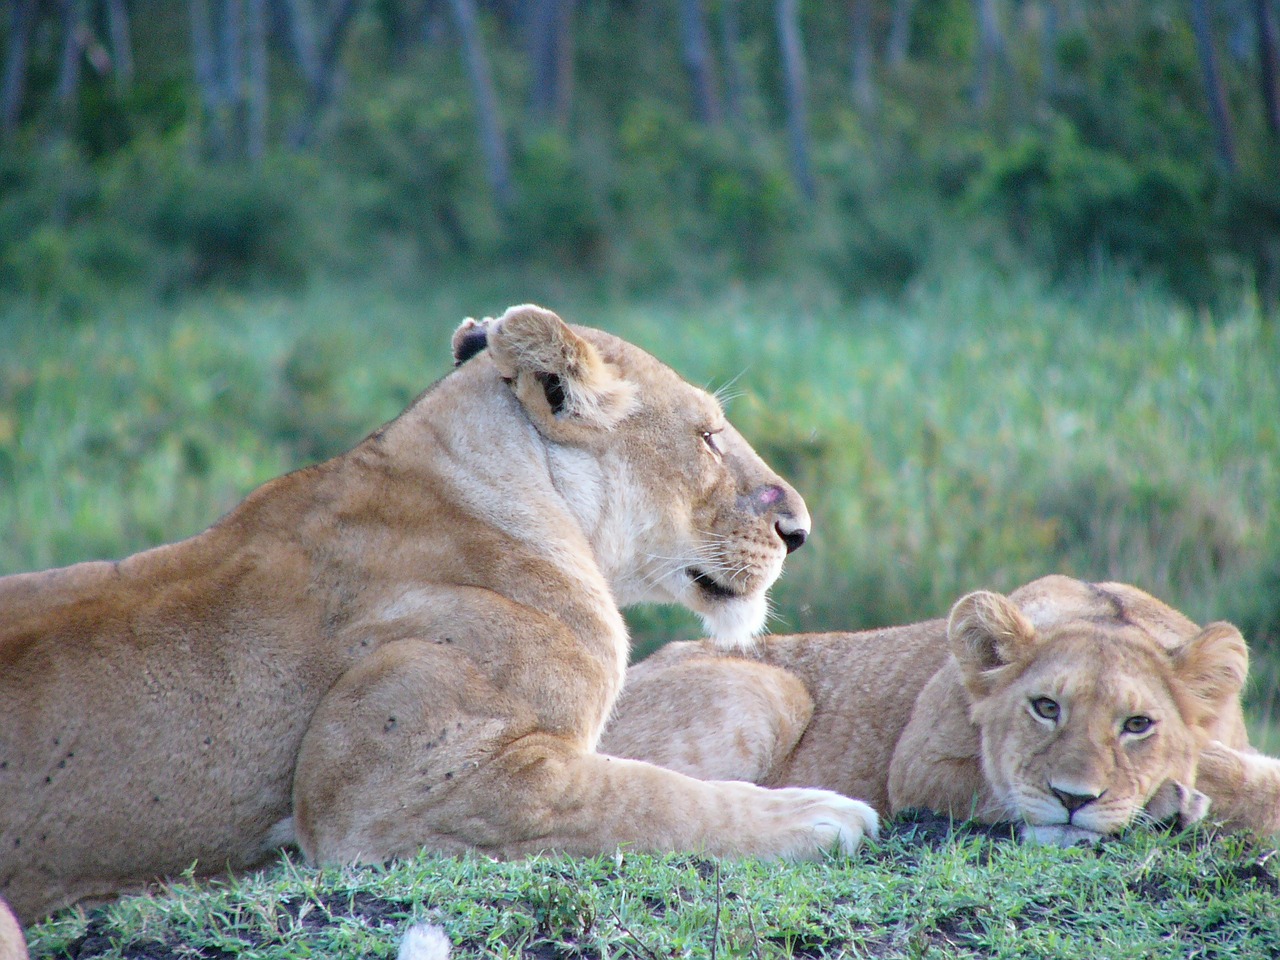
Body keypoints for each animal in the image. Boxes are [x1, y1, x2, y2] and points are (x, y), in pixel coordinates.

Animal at [599, 578, 1280, 839]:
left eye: (1138, 725)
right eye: (1045, 707)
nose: (1073, 799)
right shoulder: (917, 770)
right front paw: (1170, 802)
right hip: (770, 691)